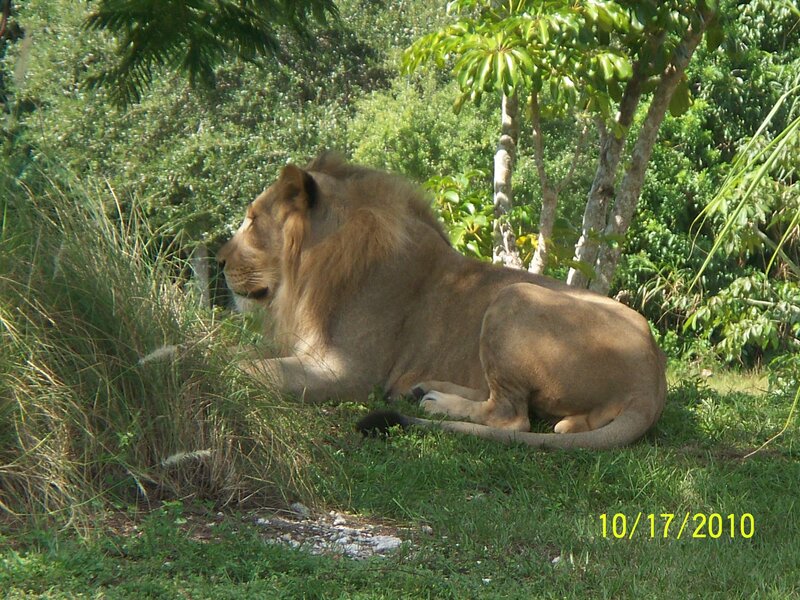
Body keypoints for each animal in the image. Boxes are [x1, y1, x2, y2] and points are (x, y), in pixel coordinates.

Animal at [217, 154, 667, 449]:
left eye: (252, 221)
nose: (218, 261)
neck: (310, 272)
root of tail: (651, 382)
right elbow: (241, 356)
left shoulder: (345, 372)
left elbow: (247, 369)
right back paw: (424, 389)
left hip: (513, 296)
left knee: (512, 417)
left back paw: (435, 402)